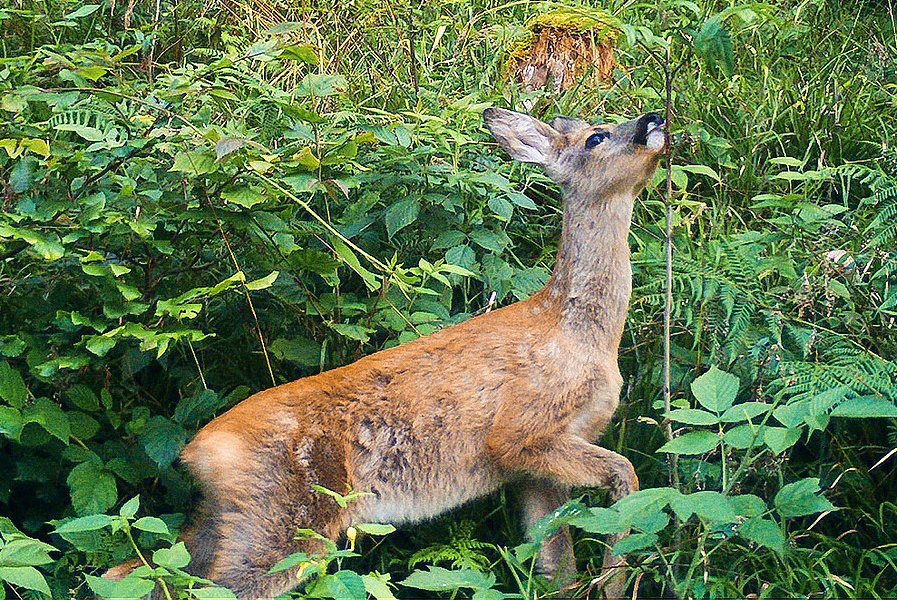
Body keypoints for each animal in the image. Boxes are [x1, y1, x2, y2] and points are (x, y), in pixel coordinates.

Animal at [107, 107, 666, 598]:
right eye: (596, 137)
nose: (653, 120)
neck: (580, 334)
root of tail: (200, 450)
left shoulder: (531, 471)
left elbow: (555, 566)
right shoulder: (521, 432)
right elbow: (626, 475)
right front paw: (618, 580)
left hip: (226, 520)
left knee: (139, 570)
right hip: (286, 521)